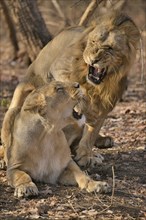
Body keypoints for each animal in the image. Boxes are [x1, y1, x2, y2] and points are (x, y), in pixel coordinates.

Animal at [1, 12, 140, 168]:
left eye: (110, 48)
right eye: (93, 42)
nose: (94, 59)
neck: (96, 85)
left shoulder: (105, 105)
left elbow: (91, 133)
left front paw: (86, 156)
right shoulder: (58, 68)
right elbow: (70, 86)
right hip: (16, 106)